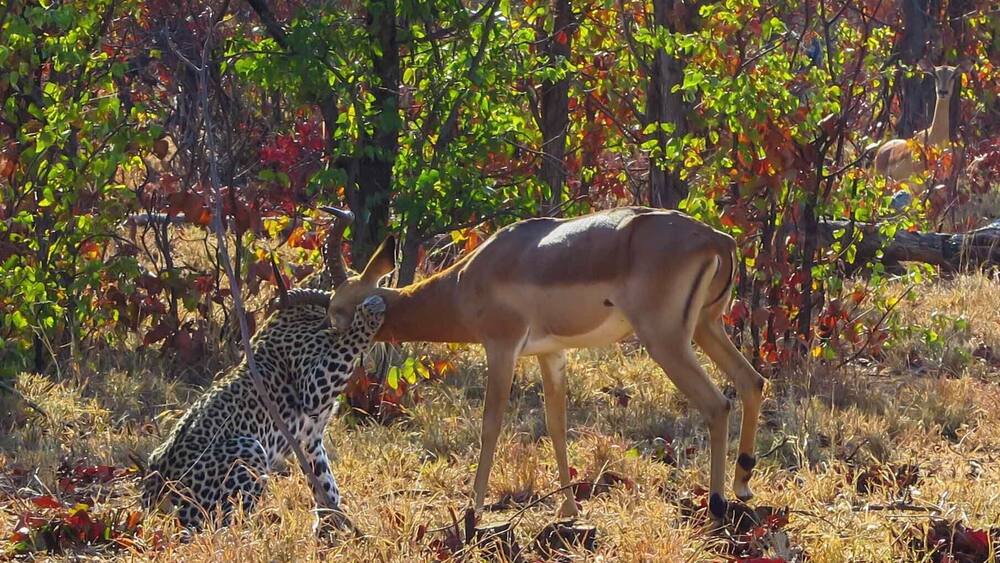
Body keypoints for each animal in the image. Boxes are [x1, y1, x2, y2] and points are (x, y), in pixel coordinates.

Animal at [315, 206, 765, 520]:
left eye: (338, 310)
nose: (335, 361)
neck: (466, 279)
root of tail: (718, 240)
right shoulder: (552, 353)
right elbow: (557, 425)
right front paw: (569, 509)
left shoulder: (501, 347)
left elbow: (491, 425)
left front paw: (474, 508)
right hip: (706, 327)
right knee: (752, 382)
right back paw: (743, 484)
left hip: (667, 341)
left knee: (717, 404)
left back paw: (717, 504)